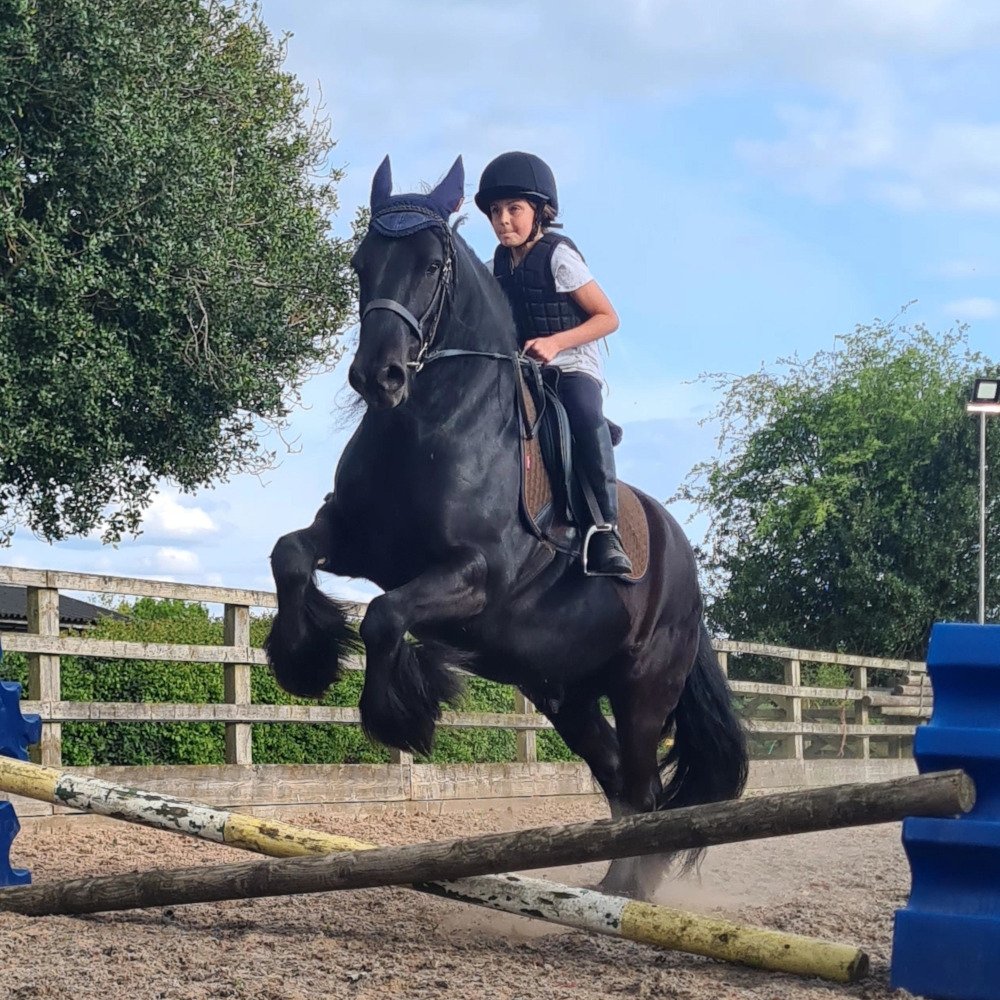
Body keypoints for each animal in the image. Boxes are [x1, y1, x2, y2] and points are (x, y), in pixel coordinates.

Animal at [264, 155, 748, 898]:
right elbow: (290, 554)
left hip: (643, 692)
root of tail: (684, 567)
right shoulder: (354, 541)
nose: (379, 377)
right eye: (359, 264)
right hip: (565, 694)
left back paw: (631, 892)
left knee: (644, 788)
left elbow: (383, 616)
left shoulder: (475, 576)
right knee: (623, 786)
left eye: (433, 264)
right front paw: (302, 661)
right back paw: (611, 889)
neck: (429, 426)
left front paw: (400, 715)